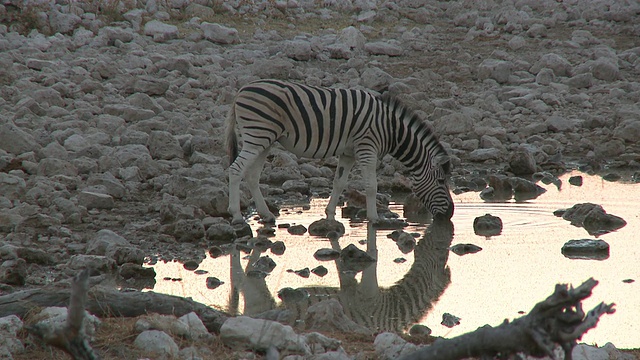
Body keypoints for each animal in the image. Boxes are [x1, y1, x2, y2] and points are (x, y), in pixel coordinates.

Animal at [226, 80, 456, 224]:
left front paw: (329, 214)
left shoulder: (348, 153)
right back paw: (236, 215)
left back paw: (266, 215)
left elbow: (339, 182)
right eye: (441, 181)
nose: (451, 214)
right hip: (257, 135)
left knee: (252, 176)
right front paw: (374, 219)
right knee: (235, 170)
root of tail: (241, 90)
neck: (391, 130)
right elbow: (371, 186)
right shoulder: (367, 148)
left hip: (264, 140)